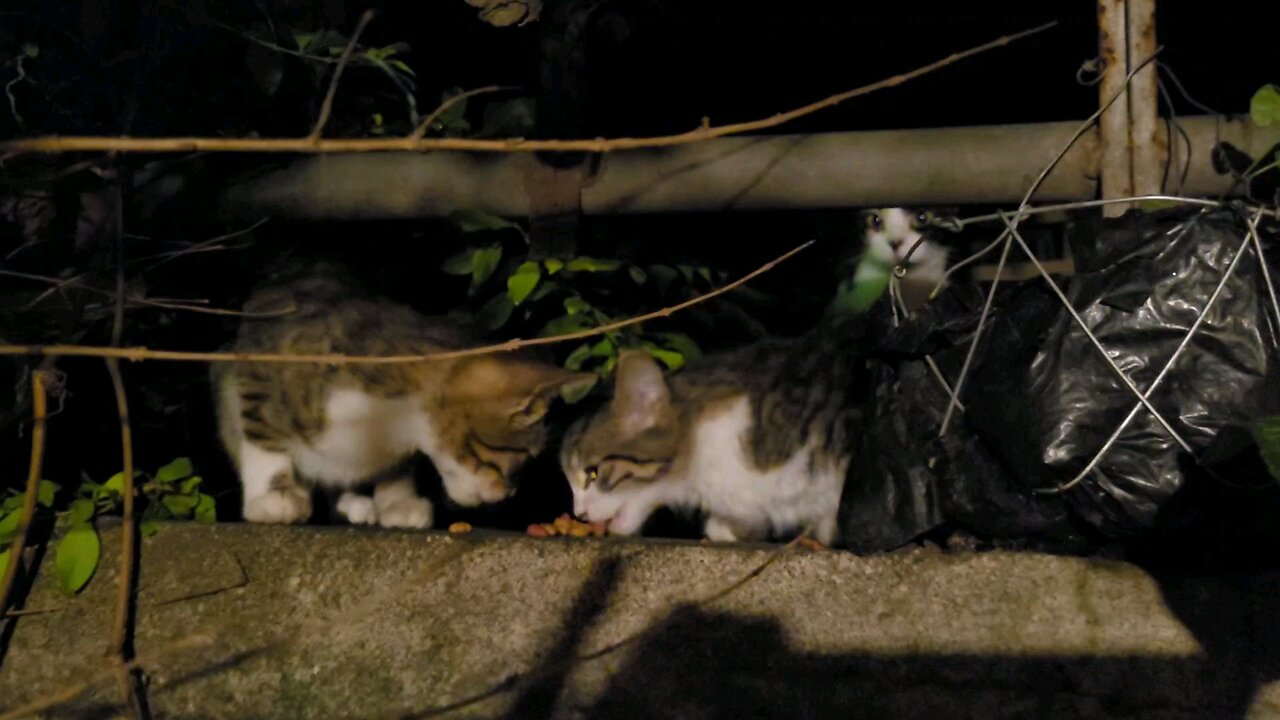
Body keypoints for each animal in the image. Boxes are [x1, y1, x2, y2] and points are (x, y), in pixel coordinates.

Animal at [213, 258, 593, 527]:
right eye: (518, 460)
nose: (507, 496)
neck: (392, 419)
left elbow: (395, 465)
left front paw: (398, 501)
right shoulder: (260, 366)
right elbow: (261, 435)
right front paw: (273, 495)